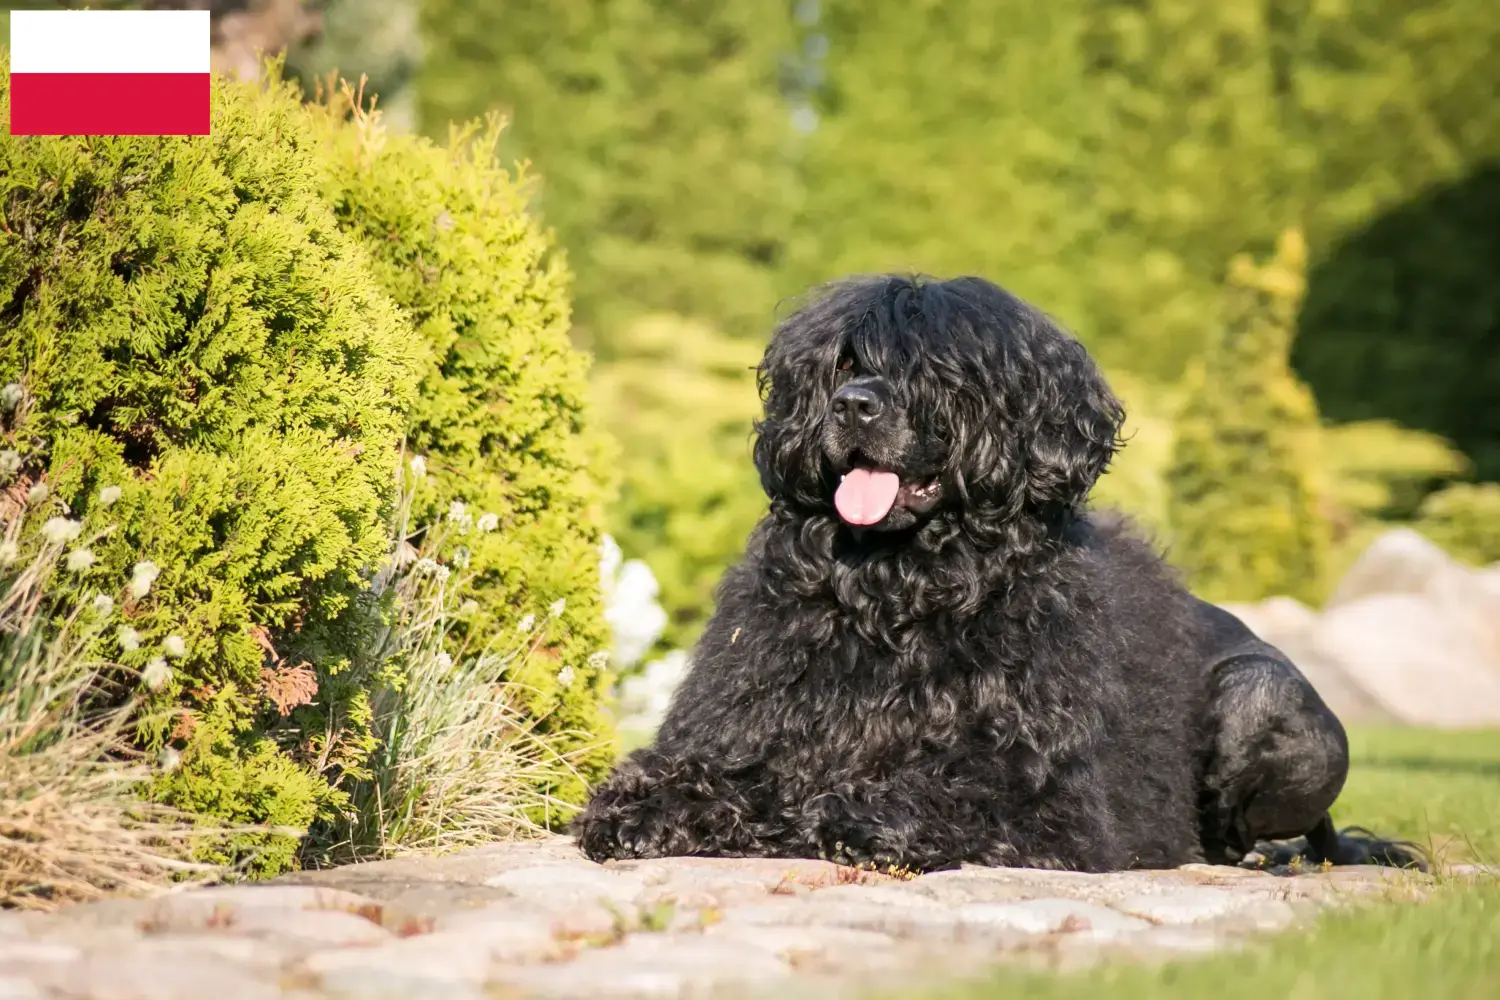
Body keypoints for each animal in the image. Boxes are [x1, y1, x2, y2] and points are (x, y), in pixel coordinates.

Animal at [573, 275, 1416, 875]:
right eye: (843, 363)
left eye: (936, 372)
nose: (852, 405)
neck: (900, 591)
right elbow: (708, 774)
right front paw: (651, 810)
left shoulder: (1049, 800)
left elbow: (942, 791)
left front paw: (855, 816)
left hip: (1261, 696)